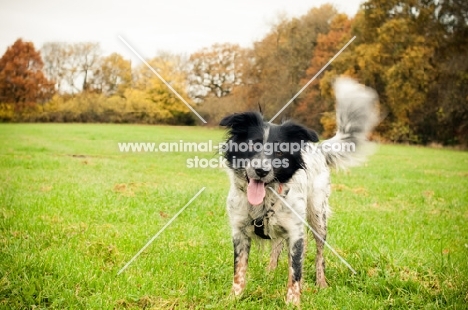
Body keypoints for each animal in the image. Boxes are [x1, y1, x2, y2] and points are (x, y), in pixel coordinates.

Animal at [220, 77, 380, 306]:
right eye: (252, 145)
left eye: (279, 152)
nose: (261, 170)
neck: (264, 202)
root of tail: (318, 148)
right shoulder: (239, 232)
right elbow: (239, 270)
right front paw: (234, 297)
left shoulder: (296, 234)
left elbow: (295, 272)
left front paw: (293, 302)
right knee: (277, 245)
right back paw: (270, 274)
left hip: (318, 218)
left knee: (320, 255)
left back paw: (321, 283)